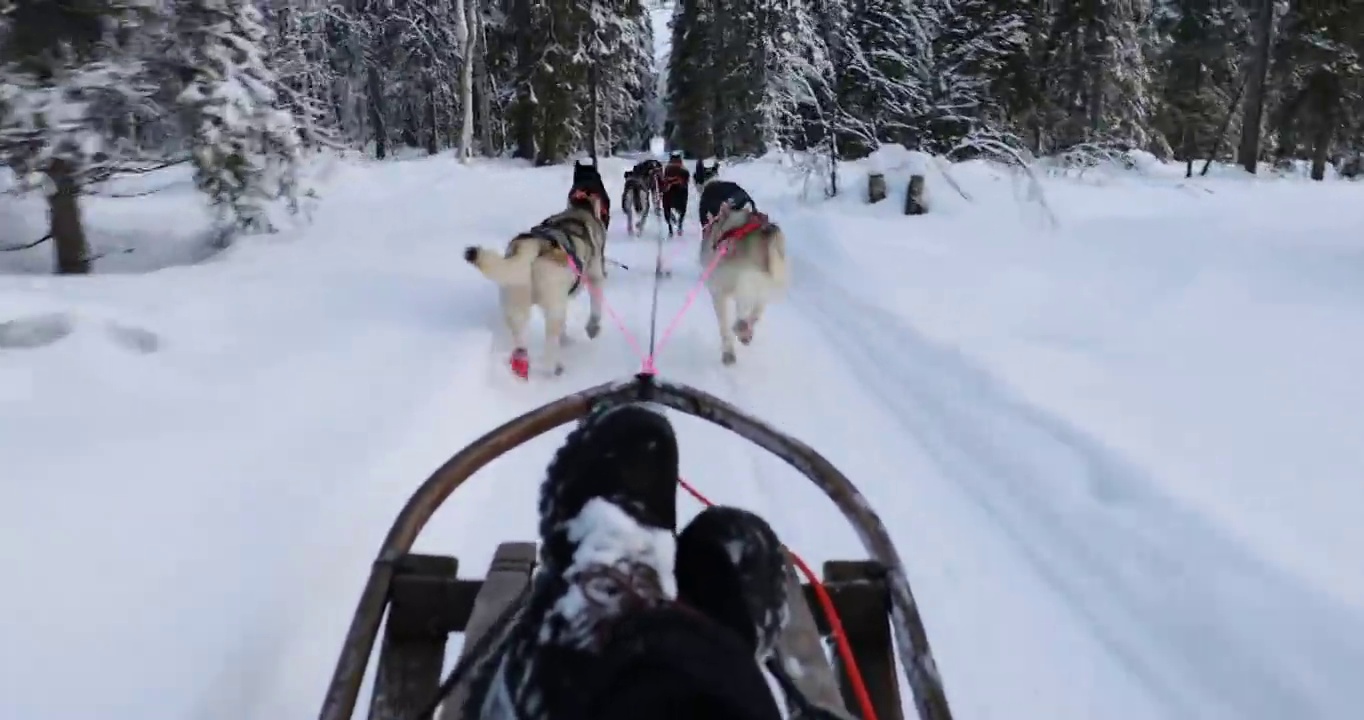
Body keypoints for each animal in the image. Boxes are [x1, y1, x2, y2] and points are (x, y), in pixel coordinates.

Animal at [463, 190, 608, 381]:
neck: (578, 213)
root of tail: (533, 244)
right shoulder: (595, 277)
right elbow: (596, 308)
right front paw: (593, 328)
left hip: (516, 299)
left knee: (521, 344)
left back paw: (521, 367)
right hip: (553, 305)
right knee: (550, 345)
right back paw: (555, 368)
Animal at [703, 199, 791, 365]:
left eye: (716, 221)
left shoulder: (718, 292)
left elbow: (724, 326)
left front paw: (728, 351)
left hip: (745, 281)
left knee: (741, 314)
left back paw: (740, 331)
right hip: (764, 286)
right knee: (755, 313)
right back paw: (746, 331)